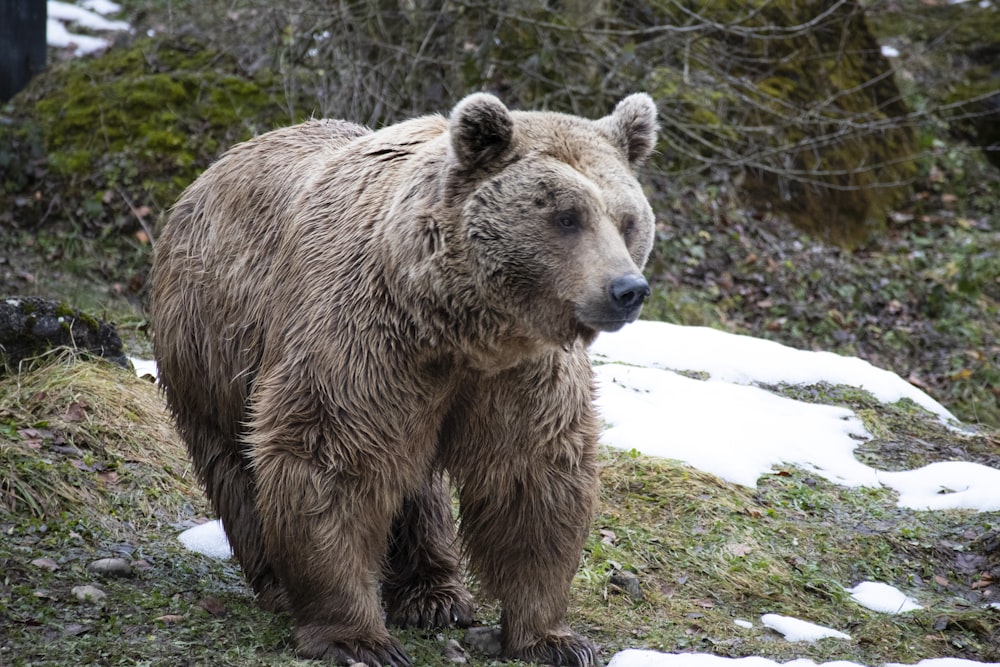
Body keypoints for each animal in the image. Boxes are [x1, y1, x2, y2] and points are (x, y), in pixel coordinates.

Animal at [150, 94, 656, 667]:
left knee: (418, 486)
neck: (456, 327)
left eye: (628, 220)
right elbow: (330, 462)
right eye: (567, 216)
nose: (627, 289)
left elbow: (534, 479)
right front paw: (357, 637)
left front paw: (553, 638)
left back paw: (435, 594)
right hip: (211, 346)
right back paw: (279, 582)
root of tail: (209, 174)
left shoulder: (521, 374)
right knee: (235, 465)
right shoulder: (362, 341)